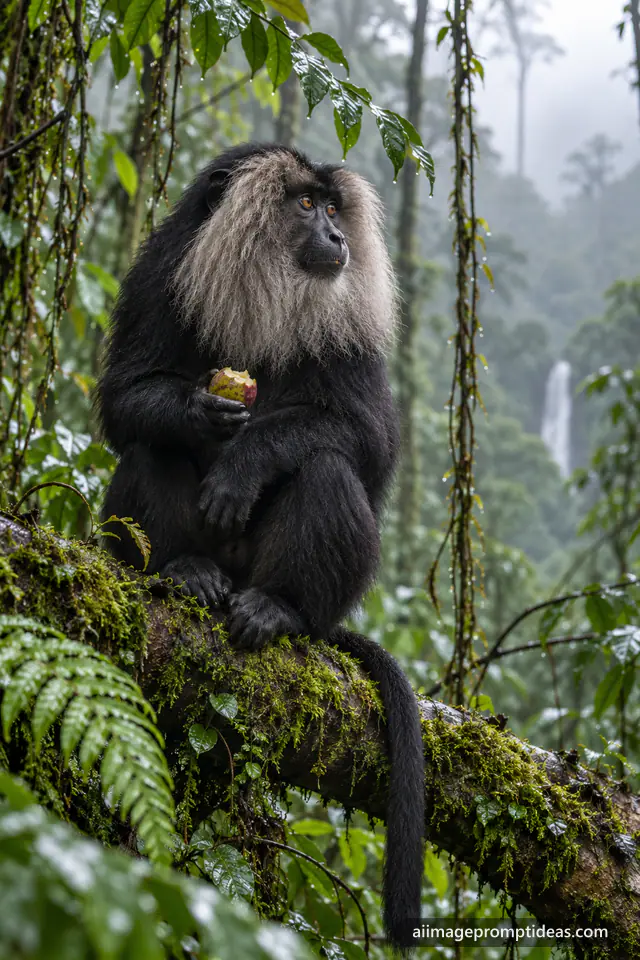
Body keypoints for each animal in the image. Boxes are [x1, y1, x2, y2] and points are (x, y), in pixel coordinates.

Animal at [98, 143, 424, 950]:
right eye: (306, 206)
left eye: (334, 209)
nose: (337, 238)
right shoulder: (162, 272)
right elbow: (127, 401)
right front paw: (200, 411)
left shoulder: (351, 319)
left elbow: (367, 441)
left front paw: (247, 459)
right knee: (151, 448)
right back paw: (184, 572)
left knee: (326, 466)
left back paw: (279, 608)